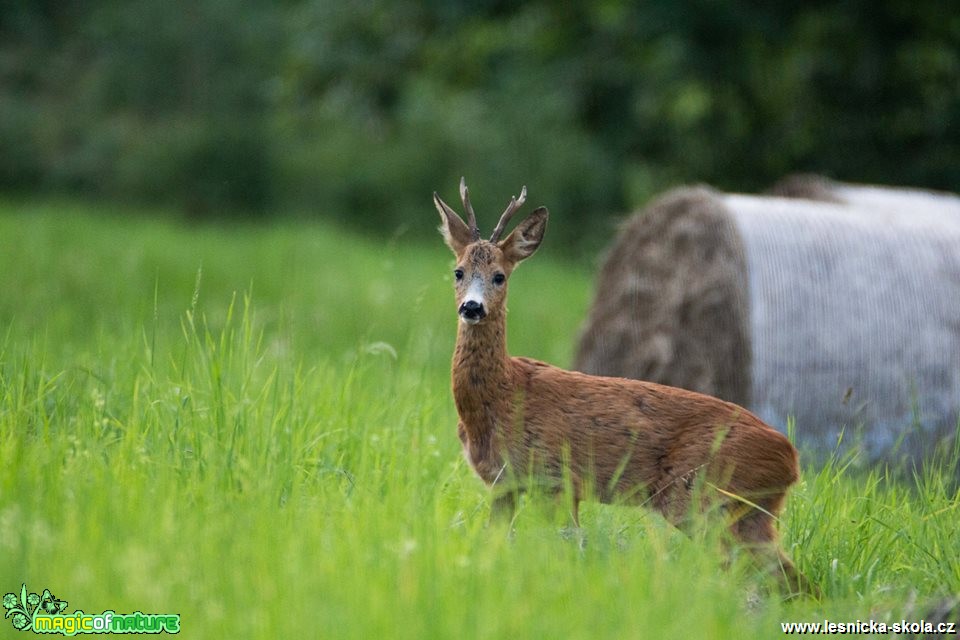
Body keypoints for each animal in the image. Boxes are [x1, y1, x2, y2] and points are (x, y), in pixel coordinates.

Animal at [436, 178, 816, 596]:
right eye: (458, 271)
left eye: (499, 276)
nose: (472, 307)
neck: (501, 395)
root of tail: (791, 460)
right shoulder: (505, 485)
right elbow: (495, 542)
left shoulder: (555, 479)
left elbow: (567, 548)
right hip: (741, 510)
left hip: (704, 498)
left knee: (777, 578)